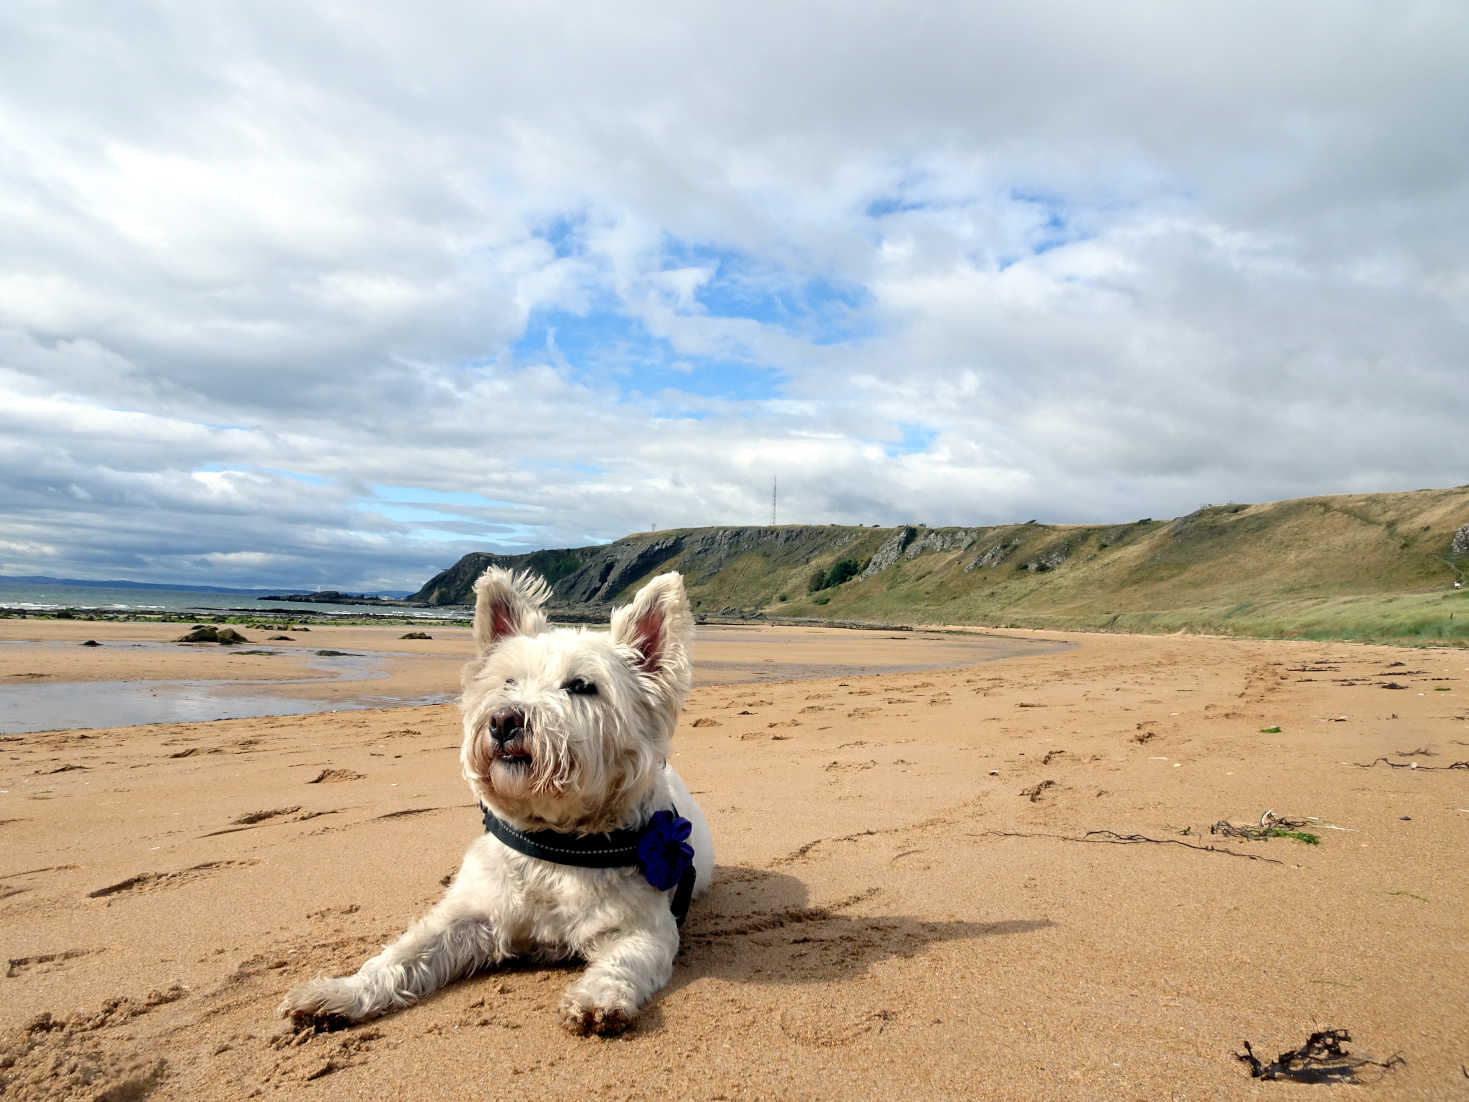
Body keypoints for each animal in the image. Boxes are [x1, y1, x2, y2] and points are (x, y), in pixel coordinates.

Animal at [277, 570, 713, 1034]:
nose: (504, 720)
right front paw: (339, 992)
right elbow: (402, 954)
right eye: (508, 681)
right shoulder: (469, 914)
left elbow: (623, 963)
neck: (554, 841)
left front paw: (597, 999)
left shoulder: (645, 928)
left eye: (582, 686)